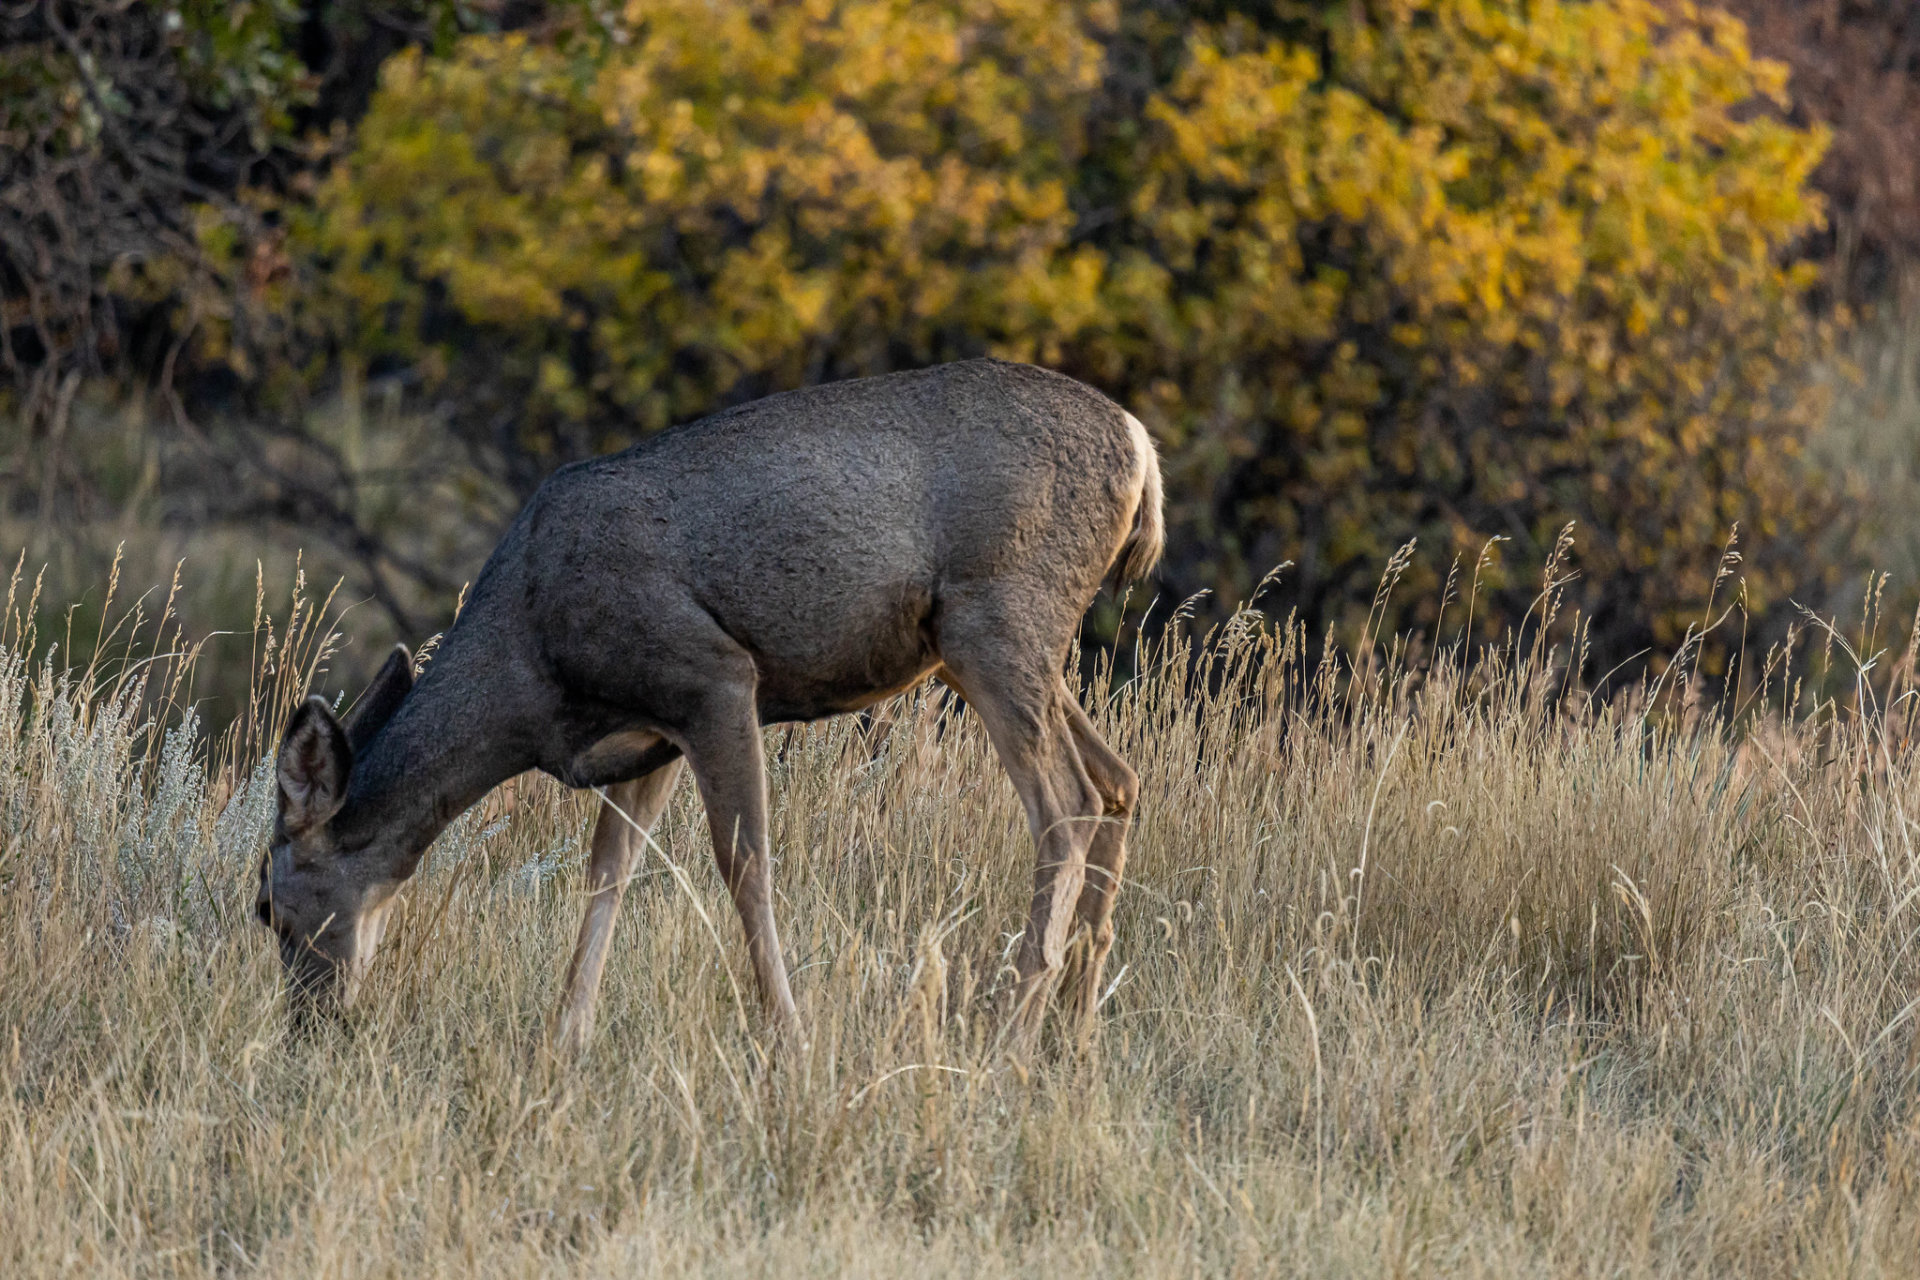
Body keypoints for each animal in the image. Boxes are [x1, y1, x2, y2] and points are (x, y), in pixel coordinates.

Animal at [253, 360, 1152, 1051]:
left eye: (268, 911)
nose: (310, 1029)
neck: (532, 665)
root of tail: (1140, 447)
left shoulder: (711, 675)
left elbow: (745, 864)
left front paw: (788, 1036)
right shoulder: (648, 734)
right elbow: (608, 872)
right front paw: (564, 1039)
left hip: (997, 617)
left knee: (1068, 802)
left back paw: (1011, 1032)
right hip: (1002, 647)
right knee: (1118, 781)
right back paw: (1074, 1030)